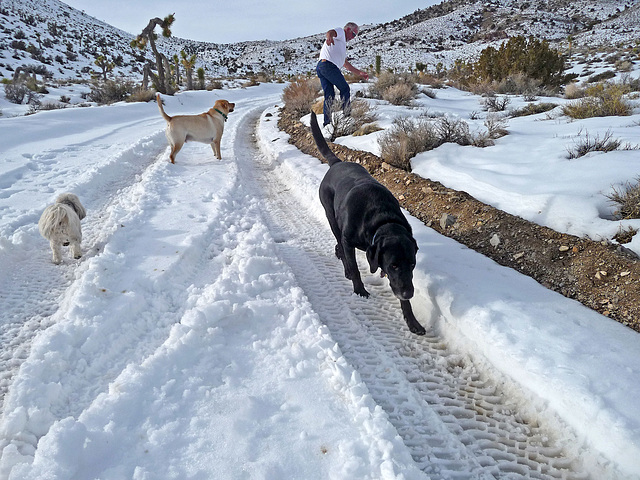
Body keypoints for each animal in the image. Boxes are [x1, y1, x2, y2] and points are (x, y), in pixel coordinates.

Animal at [310, 113, 424, 338]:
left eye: (412, 265)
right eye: (393, 265)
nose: (409, 292)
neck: (381, 220)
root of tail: (336, 163)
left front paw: (412, 321)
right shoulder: (349, 239)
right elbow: (354, 266)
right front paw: (359, 290)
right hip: (331, 217)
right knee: (339, 242)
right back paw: (344, 264)